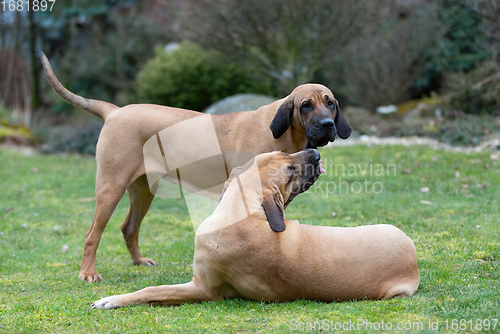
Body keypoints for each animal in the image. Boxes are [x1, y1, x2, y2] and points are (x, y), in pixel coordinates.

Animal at [39, 52, 352, 282]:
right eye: (306, 105)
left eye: (330, 103)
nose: (328, 125)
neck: (283, 133)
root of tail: (115, 112)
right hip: (110, 187)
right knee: (92, 235)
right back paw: (88, 273)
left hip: (142, 191)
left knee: (129, 227)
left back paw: (138, 261)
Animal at [92, 150, 420, 310]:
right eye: (288, 164)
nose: (315, 151)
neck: (239, 212)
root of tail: (413, 262)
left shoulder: (203, 289)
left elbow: (151, 291)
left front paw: (112, 300)